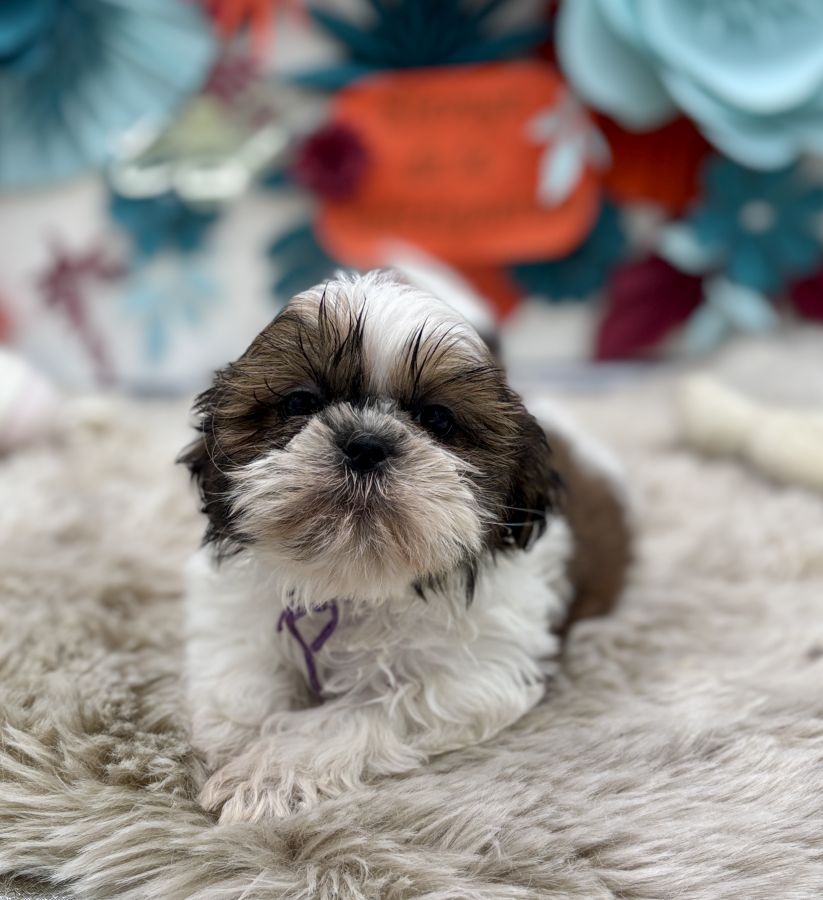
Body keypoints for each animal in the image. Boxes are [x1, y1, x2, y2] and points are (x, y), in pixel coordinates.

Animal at [180, 270, 631, 824]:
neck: (355, 580)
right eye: (300, 403)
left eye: (437, 419)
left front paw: (269, 770)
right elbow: (239, 678)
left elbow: (366, 709)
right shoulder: (234, 621)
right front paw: (235, 741)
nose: (365, 443)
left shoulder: (476, 676)